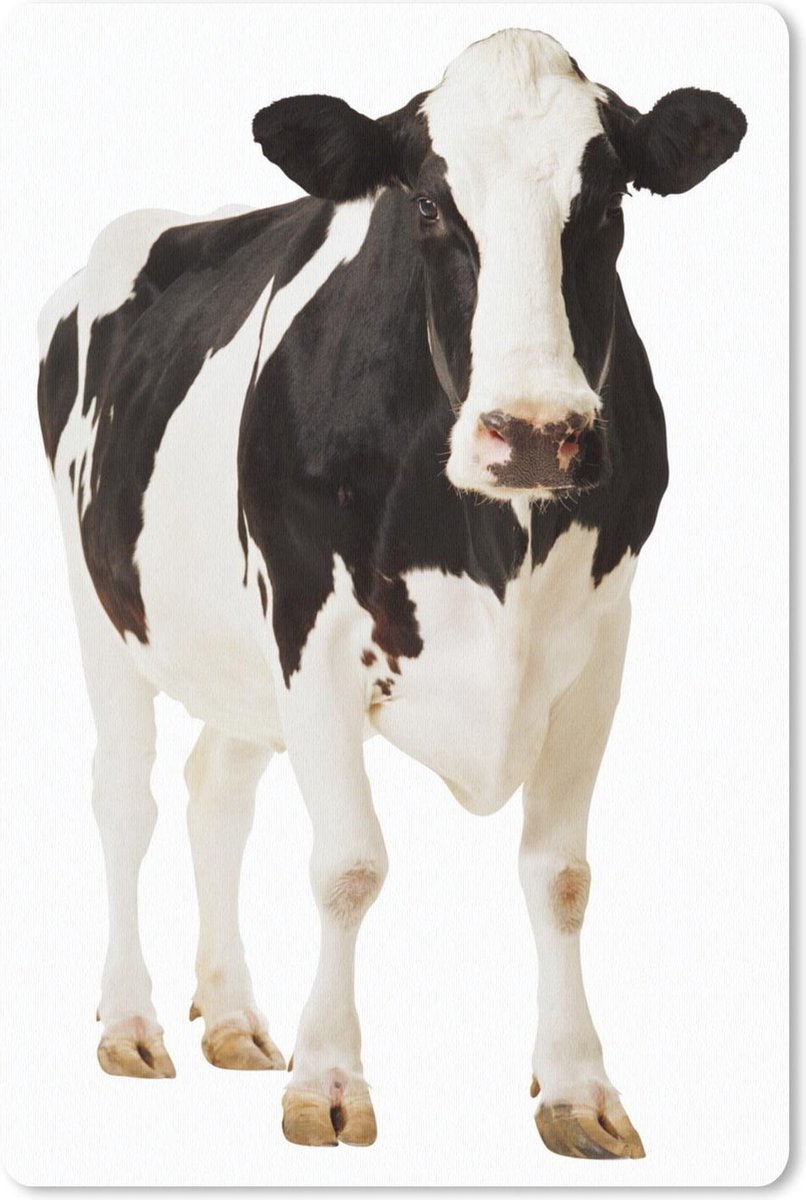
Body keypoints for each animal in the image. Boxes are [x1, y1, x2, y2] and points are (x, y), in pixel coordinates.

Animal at [37, 28, 746, 1158]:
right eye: (425, 205)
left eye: (606, 203)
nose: (535, 431)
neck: (494, 539)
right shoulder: (310, 628)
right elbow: (348, 865)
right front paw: (327, 1080)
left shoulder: (601, 642)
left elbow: (561, 875)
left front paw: (577, 1088)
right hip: (98, 597)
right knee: (123, 796)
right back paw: (130, 1023)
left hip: (237, 656)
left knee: (215, 790)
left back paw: (230, 1016)